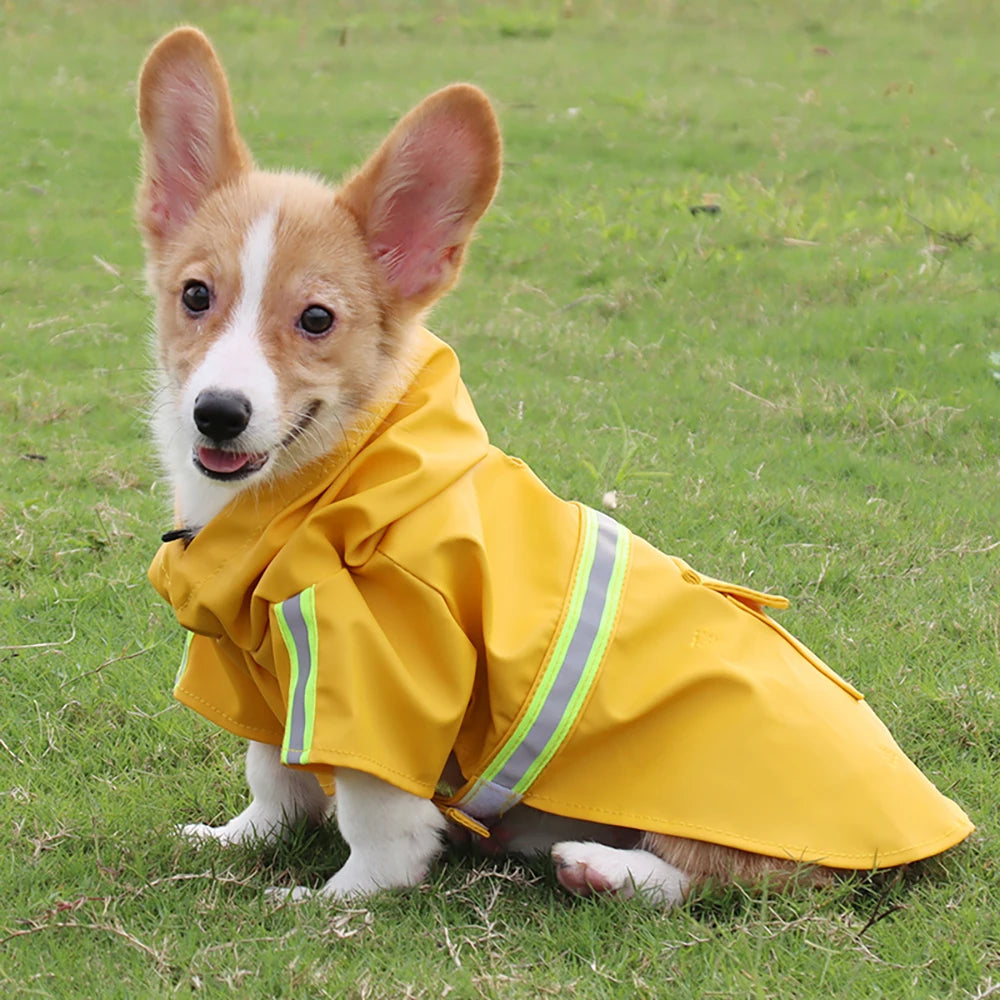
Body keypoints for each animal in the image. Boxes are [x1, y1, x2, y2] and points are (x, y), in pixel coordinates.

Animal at [133, 27, 968, 904]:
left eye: (318, 319)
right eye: (195, 296)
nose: (218, 412)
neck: (316, 488)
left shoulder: (383, 681)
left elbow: (378, 824)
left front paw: (336, 900)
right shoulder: (260, 665)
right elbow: (272, 773)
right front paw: (239, 838)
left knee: (728, 873)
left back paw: (603, 867)